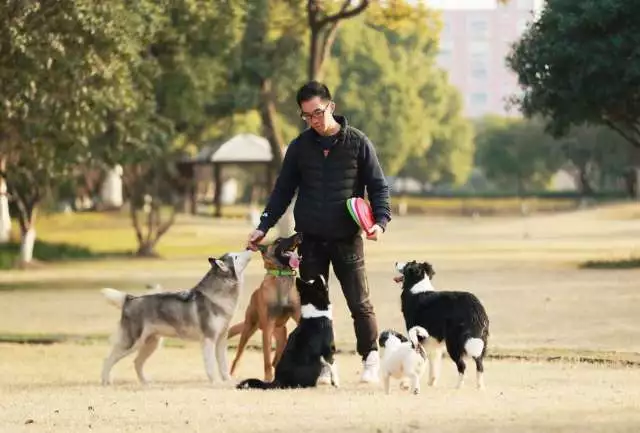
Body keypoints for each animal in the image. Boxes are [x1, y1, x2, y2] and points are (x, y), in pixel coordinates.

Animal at [100, 250, 252, 384]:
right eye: (236, 257)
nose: (250, 249)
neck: (218, 295)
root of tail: (130, 299)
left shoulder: (221, 339)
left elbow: (223, 365)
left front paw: (228, 381)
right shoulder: (208, 339)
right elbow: (210, 365)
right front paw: (215, 382)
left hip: (151, 344)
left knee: (137, 362)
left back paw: (145, 382)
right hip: (131, 343)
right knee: (108, 359)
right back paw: (106, 381)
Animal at [228, 233, 302, 382]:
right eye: (278, 240)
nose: (299, 234)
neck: (281, 275)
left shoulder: (298, 316)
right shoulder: (267, 328)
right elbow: (266, 358)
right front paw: (268, 378)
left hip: (281, 336)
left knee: (277, 356)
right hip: (248, 329)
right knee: (238, 355)